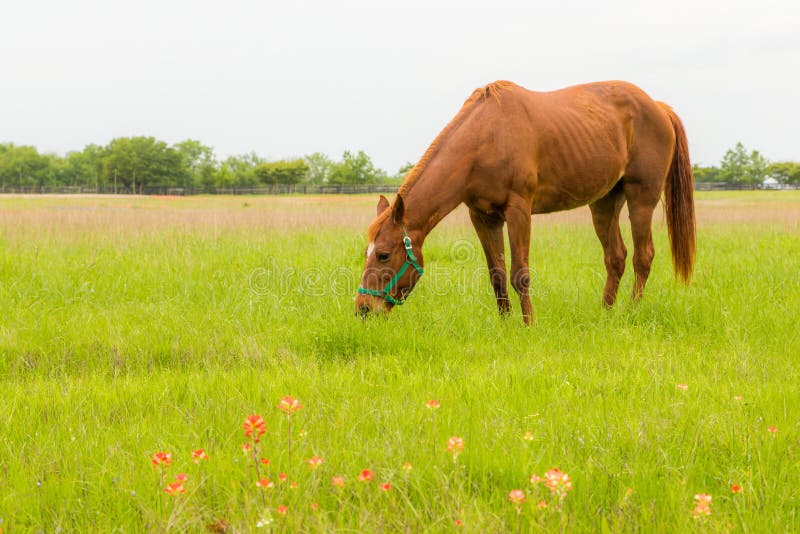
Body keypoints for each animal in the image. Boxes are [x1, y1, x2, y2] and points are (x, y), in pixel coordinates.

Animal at [356, 78, 692, 322]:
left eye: (383, 254)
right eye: (366, 252)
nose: (363, 308)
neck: (485, 137)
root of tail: (658, 107)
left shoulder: (519, 210)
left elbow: (520, 274)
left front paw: (529, 324)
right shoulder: (483, 216)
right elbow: (497, 274)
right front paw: (505, 324)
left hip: (641, 198)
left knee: (642, 256)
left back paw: (632, 311)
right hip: (605, 201)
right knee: (616, 257)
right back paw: (605, 313)